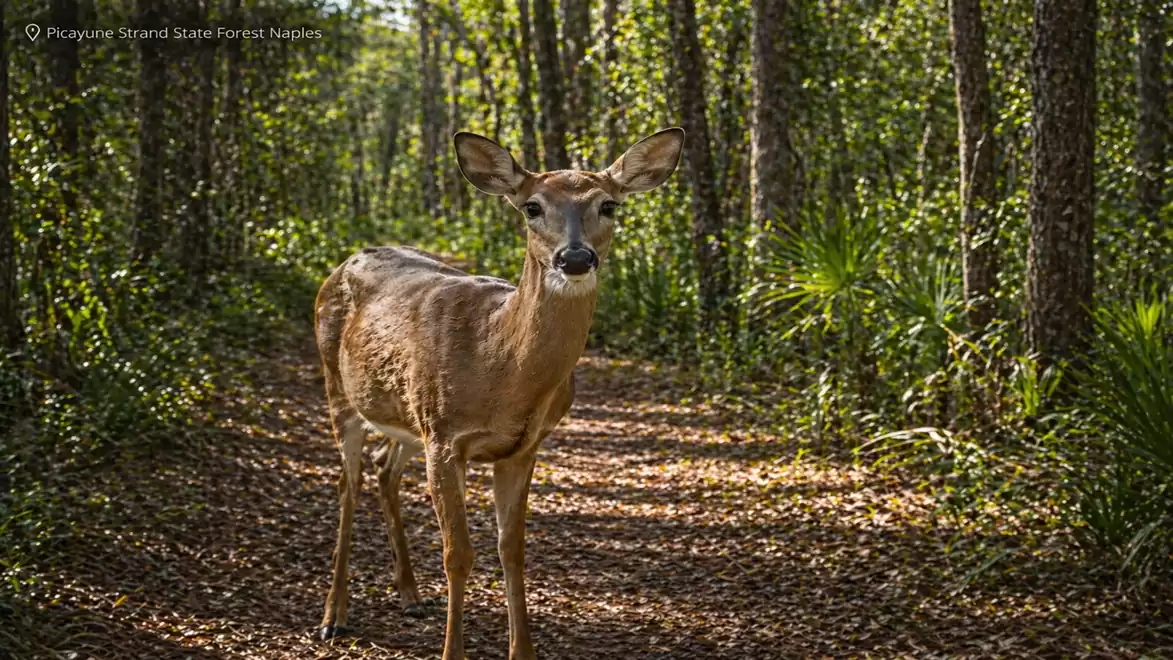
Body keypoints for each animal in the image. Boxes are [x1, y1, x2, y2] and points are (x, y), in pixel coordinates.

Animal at [312, 127, 685, 659]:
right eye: (532, 206)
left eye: (609, 205)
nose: (575, 258)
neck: (502, 367)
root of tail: (344, 262)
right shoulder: (446, 437)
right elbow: (458, 554)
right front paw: (452, 652)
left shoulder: (521, 446)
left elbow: (513, 549)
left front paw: (522, 650)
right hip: (339, 389)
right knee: (349, 483)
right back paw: (333, 616)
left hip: (405, 415)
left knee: (384, 469)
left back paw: (410, 595)